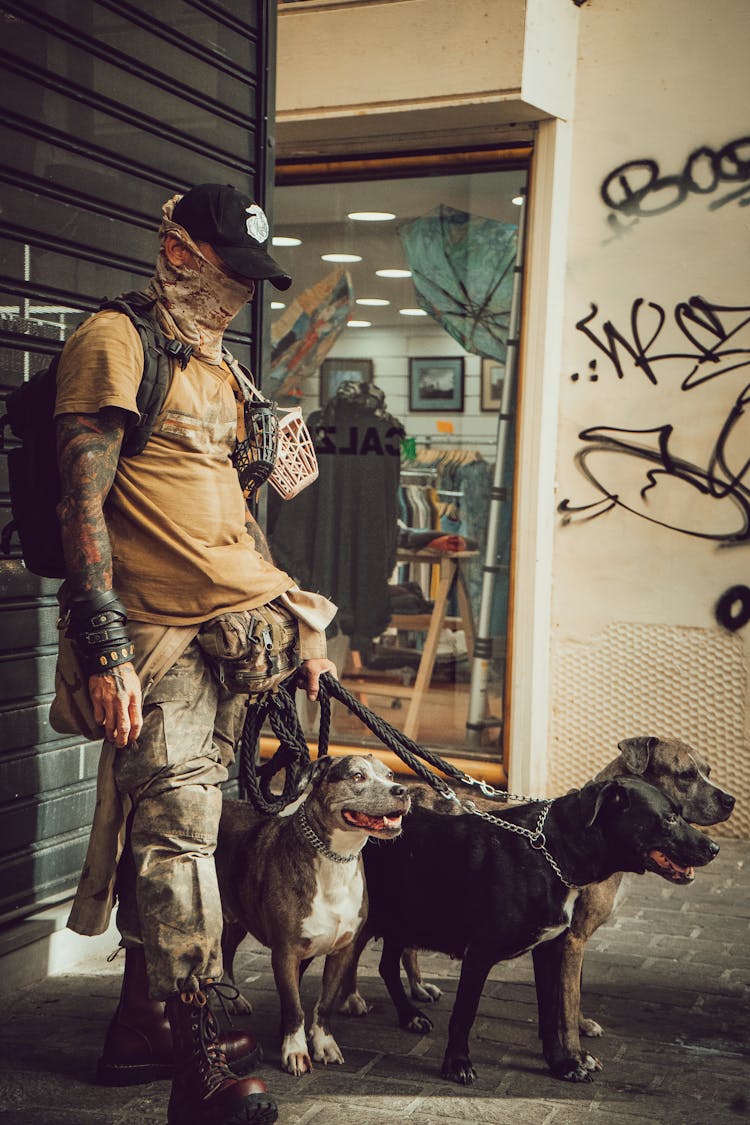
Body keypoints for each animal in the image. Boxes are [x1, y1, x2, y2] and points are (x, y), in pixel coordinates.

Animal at [339, 778, 715, 1084]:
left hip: (406, 916)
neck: (551, 852)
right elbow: (464, 1013)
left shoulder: (550, 949)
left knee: (387, 964)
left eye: (680, 812)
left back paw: (409, 1016)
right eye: (669, 817)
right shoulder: (480, 954)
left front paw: (562, 1064)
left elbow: (551, 1013)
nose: (715, 849)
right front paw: (456, 1064)